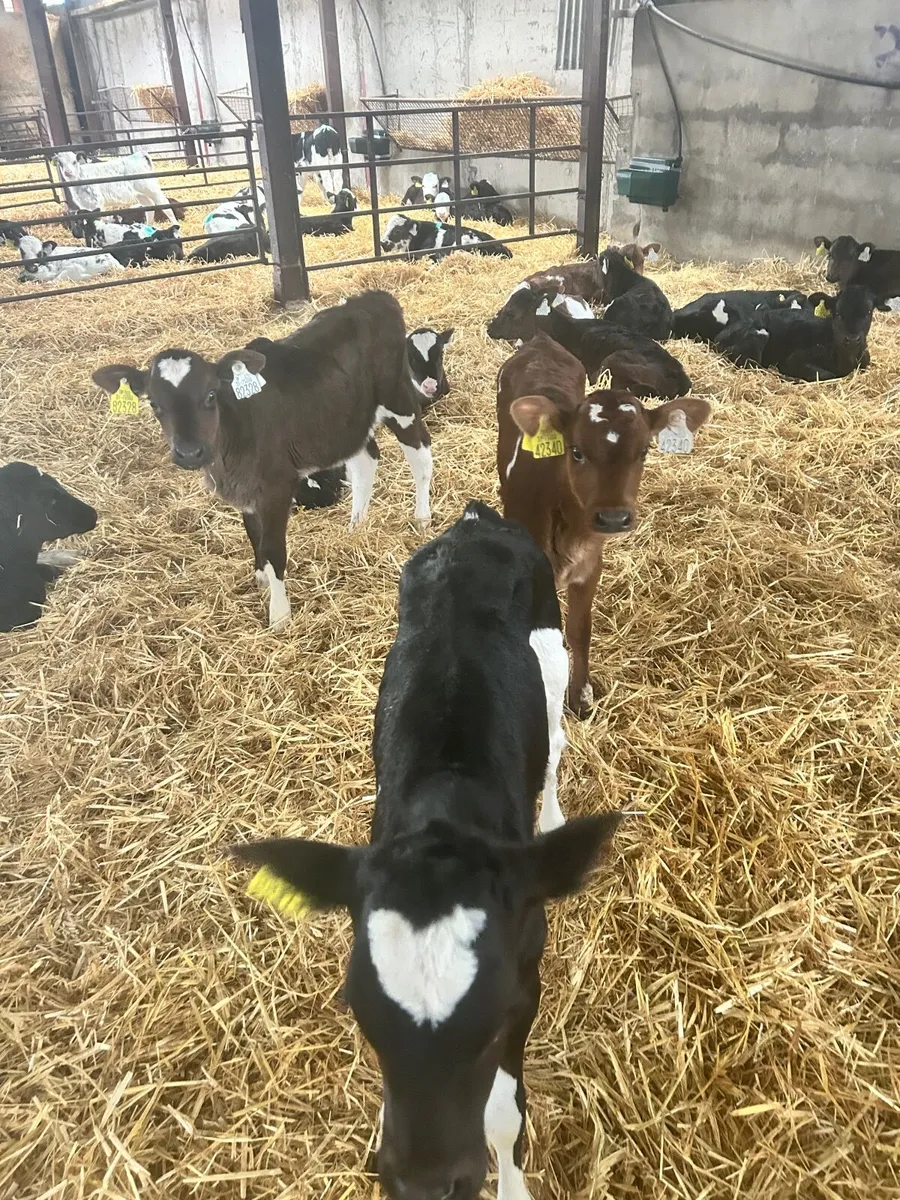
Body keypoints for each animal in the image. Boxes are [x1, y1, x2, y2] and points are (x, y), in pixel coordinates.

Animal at [91, 292, 433, 632]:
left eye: (211, 395)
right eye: (153, 403)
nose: (189, 452)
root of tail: (372, 296)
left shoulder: (276, 488)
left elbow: (273, 550)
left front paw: (279, 614)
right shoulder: (245, 488)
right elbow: (253, 535)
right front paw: (261, 579)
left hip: (399, 400)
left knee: (421, 456)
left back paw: (421, 517)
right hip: (347, 422)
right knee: (365, 462)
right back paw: (356, 525)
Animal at [231, 498, 624, 1200]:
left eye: (493, 1018)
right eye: (361, 1013)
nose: (423, 1183)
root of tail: (476, 520)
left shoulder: (527, 977)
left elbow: (502, 1113)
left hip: (550, 650)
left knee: (555, 742)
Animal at [497, 334, 710, 714]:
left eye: (644, 452)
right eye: (576, 451)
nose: (613, 517)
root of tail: (541, 339)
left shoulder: (591, 565)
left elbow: (580, 631)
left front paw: (581, 696)